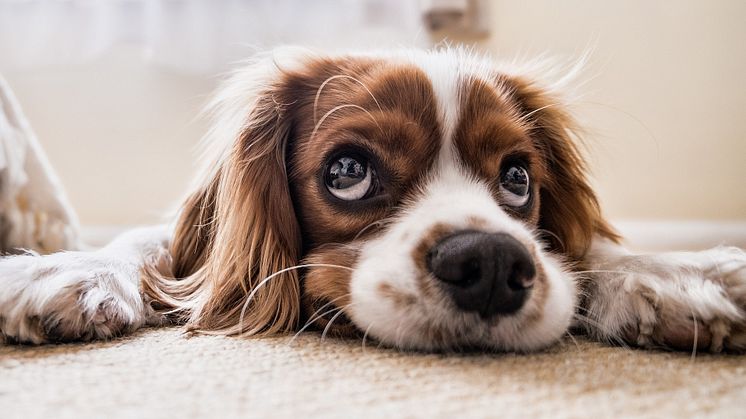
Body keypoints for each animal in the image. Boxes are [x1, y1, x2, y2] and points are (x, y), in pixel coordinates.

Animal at [1, 47, 744, 352]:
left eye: (518, 179)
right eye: (348, 171)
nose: (492, 264)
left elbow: (592, 250)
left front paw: (675, 274)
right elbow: (149, 246)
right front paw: (65, 270)